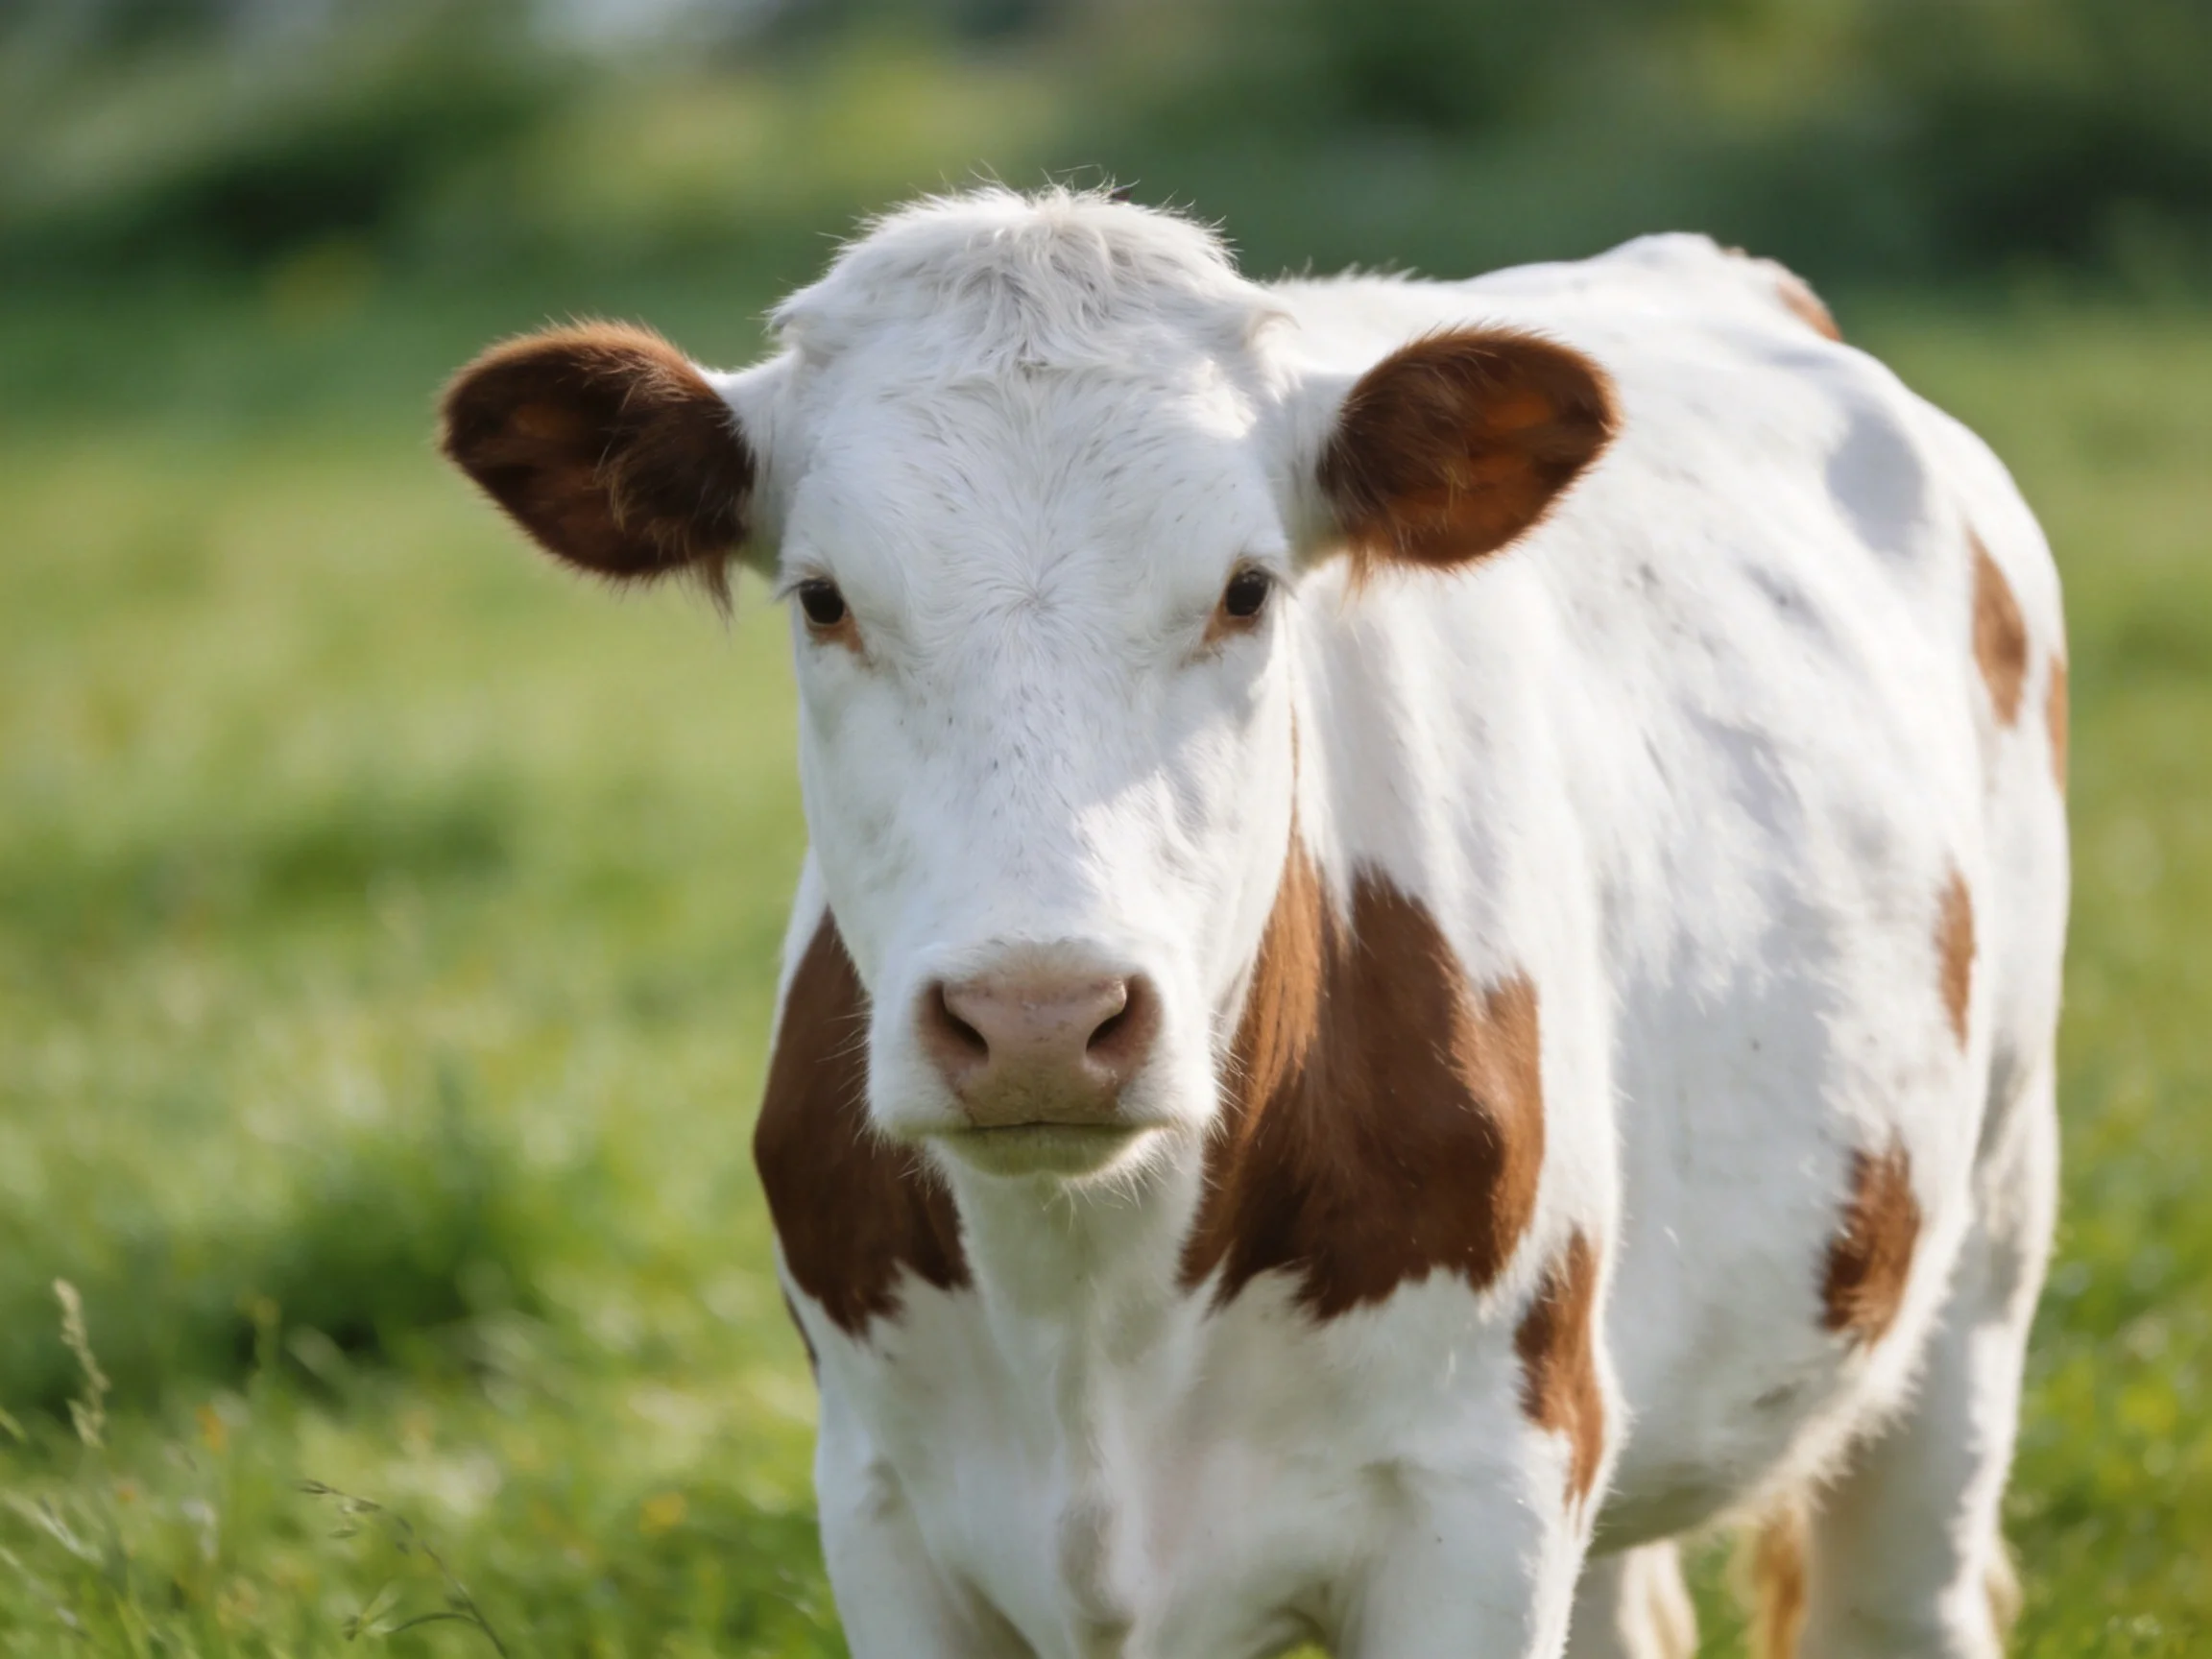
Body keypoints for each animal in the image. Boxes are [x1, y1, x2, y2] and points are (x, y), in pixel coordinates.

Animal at [439, 188, 2068, 1659]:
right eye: (822, 598)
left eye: (1246, 591)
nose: (1040, 1020)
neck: (1089, 1302)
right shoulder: (883, 1510)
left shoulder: (1478, 1506)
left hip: (1978, 1235)